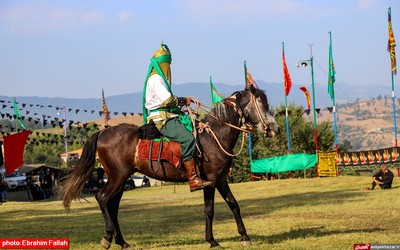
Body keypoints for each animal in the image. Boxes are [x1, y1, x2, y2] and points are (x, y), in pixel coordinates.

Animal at [59, 85, 280, 249]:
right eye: (261, 104)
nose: (276, 128)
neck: (214, 137)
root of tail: (104, 132)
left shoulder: (218, 180)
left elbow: (225, 206)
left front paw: (231, 238)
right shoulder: (213, 180)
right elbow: (218, 208)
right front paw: (225, 239)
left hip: (121, 180)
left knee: (113, 206)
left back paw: (123, 242)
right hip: (117, 177)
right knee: (102, 198)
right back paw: (107, 238)